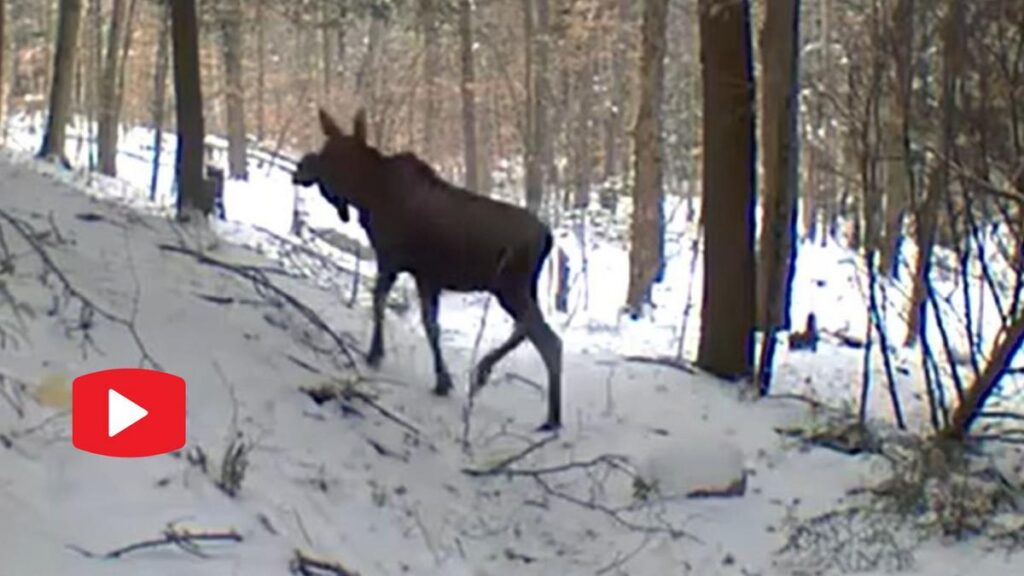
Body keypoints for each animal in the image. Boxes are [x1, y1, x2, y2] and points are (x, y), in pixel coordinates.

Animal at [293, 109, 563, 431]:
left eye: (328, 152)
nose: (300, 166)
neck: (369, 196)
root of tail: (548, 238)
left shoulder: (395, 261)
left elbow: (385, 304)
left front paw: (377, 355)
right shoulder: (426, 276)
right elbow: (429, 324)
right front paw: (441, 380)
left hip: (511, 286)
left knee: (541, 335)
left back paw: (501, 382)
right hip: (516, 288)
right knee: (542, 336)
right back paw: (547, 414)